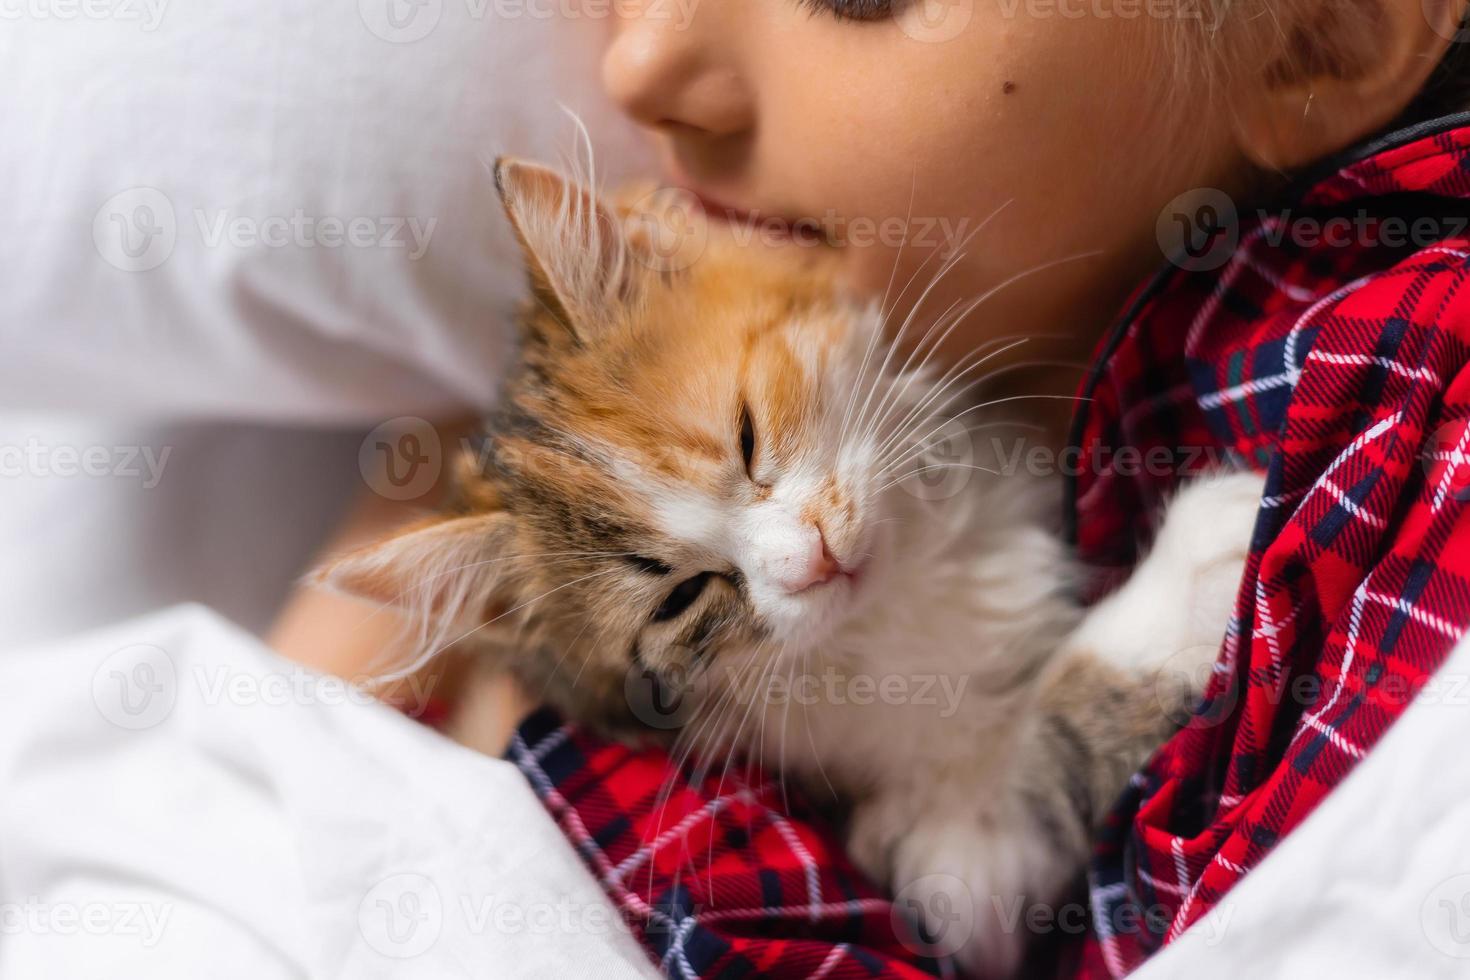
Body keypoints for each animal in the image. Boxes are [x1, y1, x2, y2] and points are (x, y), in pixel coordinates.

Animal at [321, 159, 1264, 975]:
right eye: (680, 599)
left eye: (746, 435)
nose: (812, 556)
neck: (907, 599)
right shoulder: (962, 865)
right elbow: (1051, 732)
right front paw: (1206, 555)